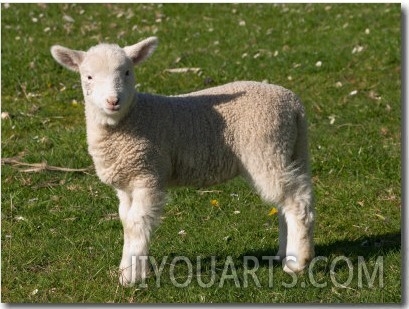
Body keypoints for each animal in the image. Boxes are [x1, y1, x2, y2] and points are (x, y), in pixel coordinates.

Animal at [50, 36, 312, 286]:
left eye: (127, 72)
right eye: (88, 76)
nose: (113, 101)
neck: (132, 117)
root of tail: (294, 104)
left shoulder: (148, 174)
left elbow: (136, 224)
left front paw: (131, 277)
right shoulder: (126, 182)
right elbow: (126, 221)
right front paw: (130, 269)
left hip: (266, 149)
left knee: (297, 202)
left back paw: (297, 262)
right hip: (291, 150)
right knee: (289, 200)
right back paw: (284, 253)